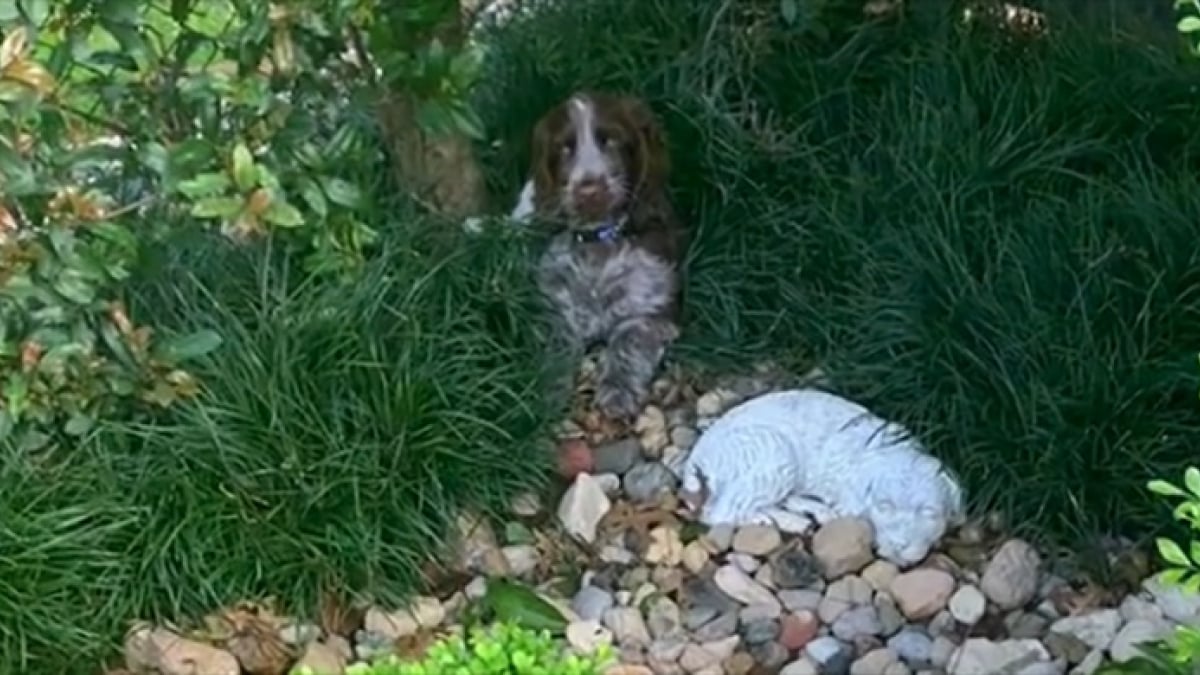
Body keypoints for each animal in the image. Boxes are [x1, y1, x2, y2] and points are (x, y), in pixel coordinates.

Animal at [516, 91, 686, 417]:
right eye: (564, 148)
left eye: (611, 141)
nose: (589, 189)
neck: (597, 241)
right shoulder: (554, 305)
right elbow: (555, 341)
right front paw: (549, 385)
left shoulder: (650, 305)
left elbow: (630, 340)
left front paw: (618, 391)